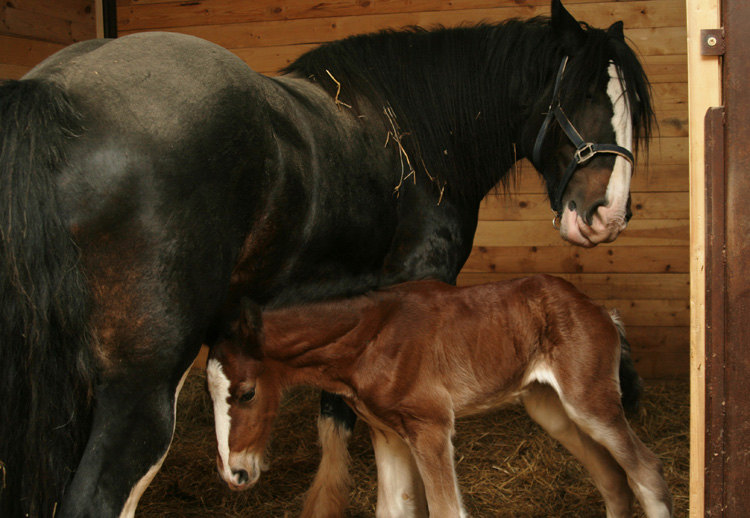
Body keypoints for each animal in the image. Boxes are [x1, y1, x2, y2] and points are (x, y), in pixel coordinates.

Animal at [207, 274, 676, 516]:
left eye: (246, 393)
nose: (235, 474)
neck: (369, 337)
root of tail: (601, 311)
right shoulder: (387, 432)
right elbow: (394, 510)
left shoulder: (429, 426)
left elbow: (447, 511)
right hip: (552, 409)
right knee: (613, 479)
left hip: (590, 403)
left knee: (647, 472)